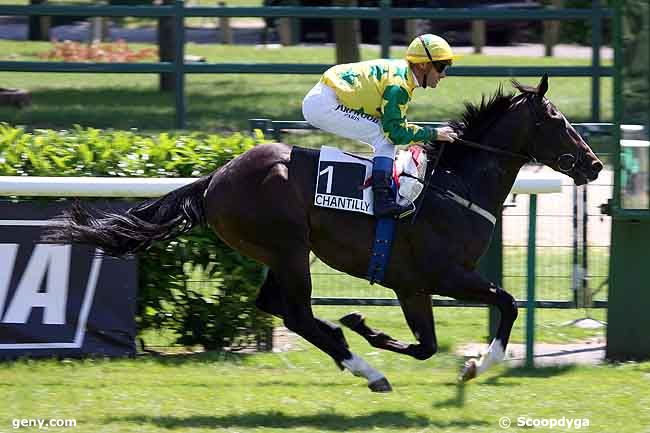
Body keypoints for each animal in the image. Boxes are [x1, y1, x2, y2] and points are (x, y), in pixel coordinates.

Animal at [46, 74, 604, 392]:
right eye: (557, 120)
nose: (595, 165)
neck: (453, 184)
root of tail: (215, 179)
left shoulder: (412, 285)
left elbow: (426, 344)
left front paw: (367, 325)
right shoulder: (443, 274)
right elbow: (507, 303)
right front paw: (476, 365)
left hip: (280, 253)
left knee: (275, 305)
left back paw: (354, 351)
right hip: (290, 249)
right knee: (295, 313)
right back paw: (363, 365)